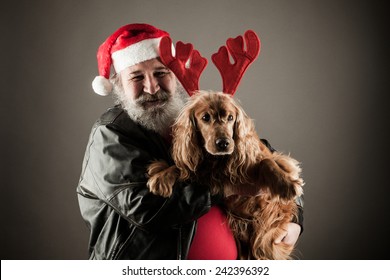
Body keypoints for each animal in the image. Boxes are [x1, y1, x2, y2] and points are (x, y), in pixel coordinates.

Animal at [147, 91, 304, 260]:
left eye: (230, 117)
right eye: (205, 117)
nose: (223, 143)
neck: (218, 161)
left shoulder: (271, 159)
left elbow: (266, 161)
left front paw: (286, 184)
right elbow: (181, 169)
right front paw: (161, 176)